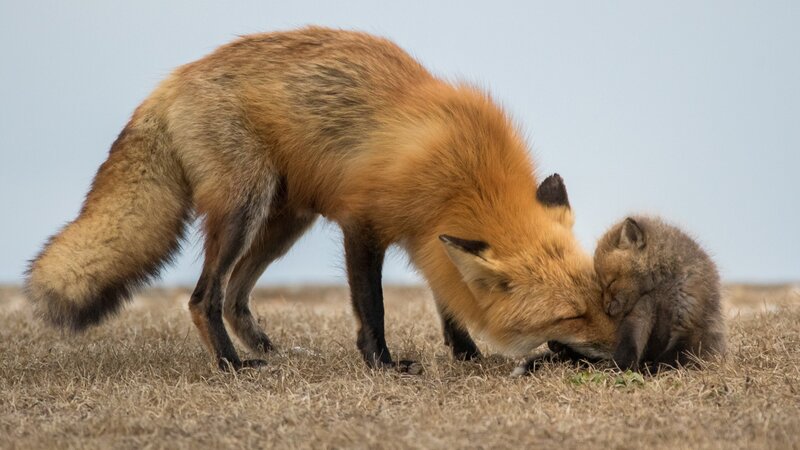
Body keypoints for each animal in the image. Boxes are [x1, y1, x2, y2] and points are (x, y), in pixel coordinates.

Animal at [25, 27, 617, 372]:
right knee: (203, 297)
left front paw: (465, 352)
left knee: (235, 295)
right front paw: (382, 364)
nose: (630, 353)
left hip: (285, 222)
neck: (463, 171)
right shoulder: (364, 225)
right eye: (569, 316)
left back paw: (264, 348)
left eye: (604, 301)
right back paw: (232, 365)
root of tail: (172, 81)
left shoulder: (429, 238)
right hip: (245, 208)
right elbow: (373, 308)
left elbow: (447, 298)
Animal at [594, 216, 726, 371]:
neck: (662, 289)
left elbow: (669, 359)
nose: (605, 309)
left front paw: (653, 372)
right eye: (602, 287)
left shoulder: (688, 324)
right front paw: (622, 367)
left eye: (611, 282)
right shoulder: (641, 311)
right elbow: (628, 345)